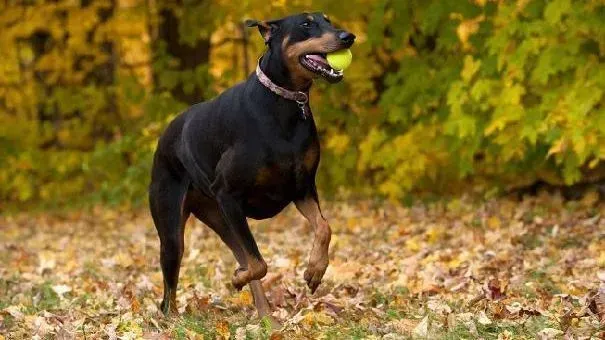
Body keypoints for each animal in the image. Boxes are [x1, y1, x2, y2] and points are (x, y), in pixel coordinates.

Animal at [149, 10, 354, 320]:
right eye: (306, 24)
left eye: (328, 20)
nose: (348, 36)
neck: (285, 101)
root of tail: (163, 137)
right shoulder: (228, 193)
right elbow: (259, 264)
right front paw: (236, 279)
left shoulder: (302, 188)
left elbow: (323, 227)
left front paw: (314, 270)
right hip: (178, 225)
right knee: (170, 287)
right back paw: (174, 318)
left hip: (221, 218)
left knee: (242, 253)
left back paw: (266, 316)